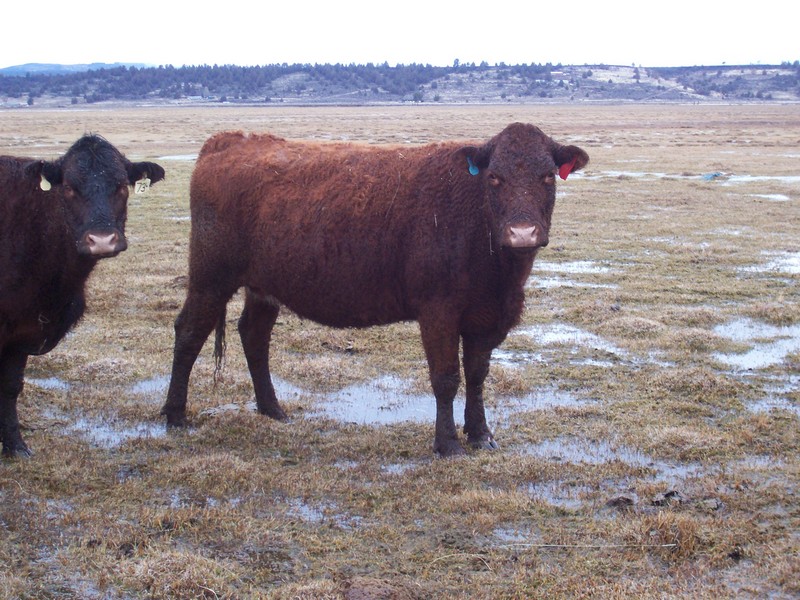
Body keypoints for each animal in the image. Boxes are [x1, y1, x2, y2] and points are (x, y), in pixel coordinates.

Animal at [0, 135, 165, 457]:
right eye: (68, 187)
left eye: (122, 186)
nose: (102, 240)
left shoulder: (20, 332)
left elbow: (11, 387)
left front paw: (16, 447)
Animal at [163, 123, 588, 456]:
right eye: (495, 177)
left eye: (548, 176)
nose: (522, 233)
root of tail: (229, 140)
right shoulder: (438, 312)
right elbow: (446, 377)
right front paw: (448, 444)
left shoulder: (486, 317)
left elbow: (478, 375)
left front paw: (481, 435)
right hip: (209, 278)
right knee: (189, 332)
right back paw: (174, 416)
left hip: (263, 286)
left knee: (254, 335)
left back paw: (272, 409)